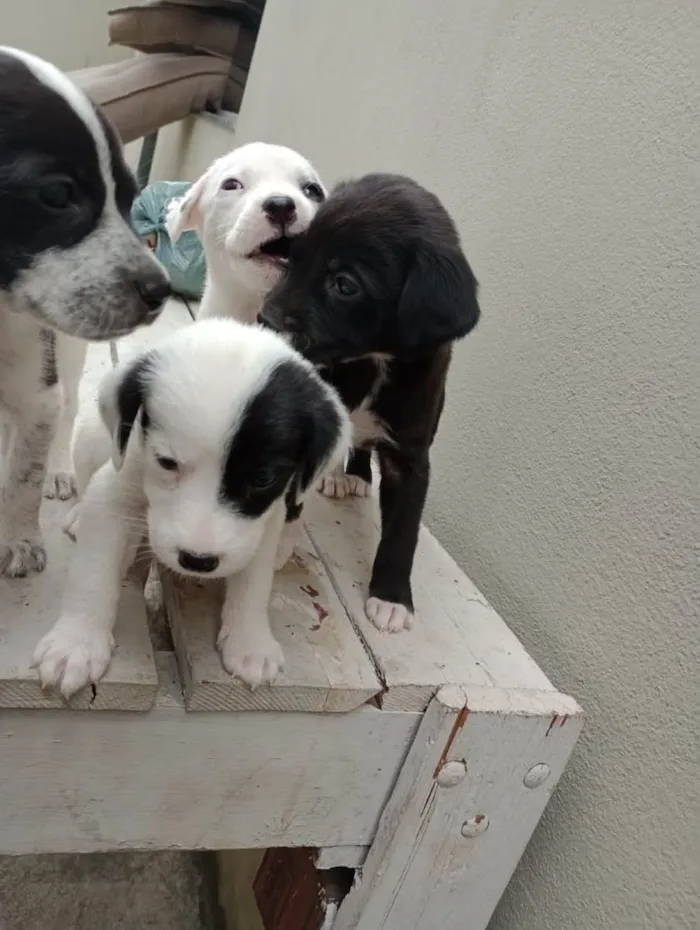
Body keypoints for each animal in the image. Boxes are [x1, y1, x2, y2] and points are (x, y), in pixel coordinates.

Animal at [0, 49, 170, 580]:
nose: (160, 292)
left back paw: (58, 470)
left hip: (68, 352)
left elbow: (21, 481)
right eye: (57, 194)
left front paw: (18, 539)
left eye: (129, 198)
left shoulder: (39, 392)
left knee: (69, 407)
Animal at [32, 316, 350, 692]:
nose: (197, 561)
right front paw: (76, 645)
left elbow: (254, 582)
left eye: (263, 479)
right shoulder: (113, 493)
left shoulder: (262, 522)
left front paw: (249, 643)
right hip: (91, 442)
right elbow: (92, 573)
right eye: (166, 462)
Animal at [258, 173, 482, 636]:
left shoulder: (411, 457)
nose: (264, 319)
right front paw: (282, 539)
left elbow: (402, 531)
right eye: (293, 260)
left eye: (345, 285)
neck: (374, 360)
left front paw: (392, 599)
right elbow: (292, 492)